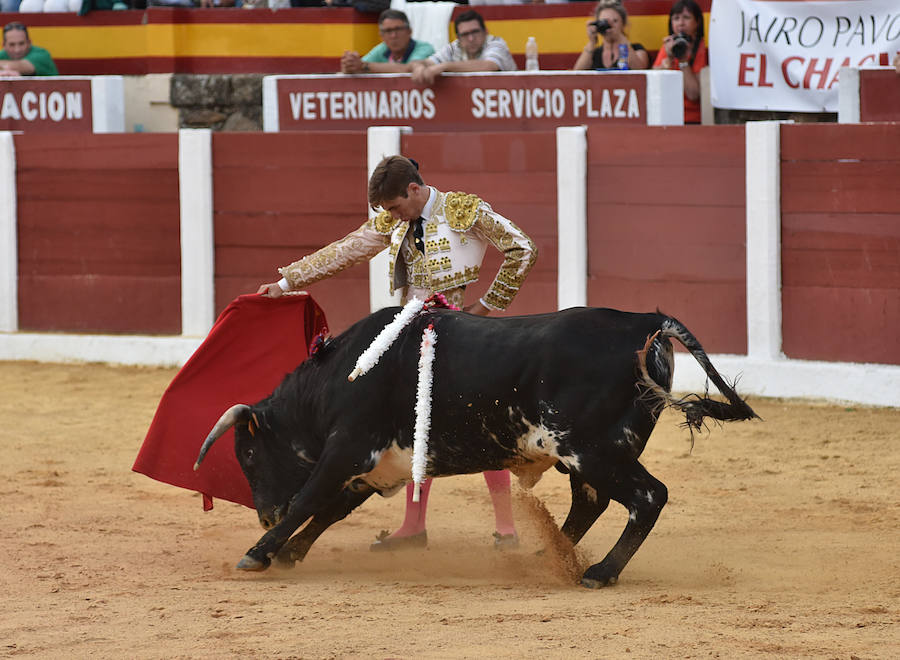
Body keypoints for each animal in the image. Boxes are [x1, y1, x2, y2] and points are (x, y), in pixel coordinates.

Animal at [193, 306, 756, 588]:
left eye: (248, 455)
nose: (264, 514)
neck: (336, 378)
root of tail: (645, 322)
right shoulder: (376, 466)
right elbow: (329, 509)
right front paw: (287, 551)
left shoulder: (348, 449)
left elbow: (311, 499)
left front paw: (260, 553)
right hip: (594, 453)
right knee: (592, 501)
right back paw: (544, 558)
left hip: (594, 449)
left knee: (647, 496)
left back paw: (599, 573)